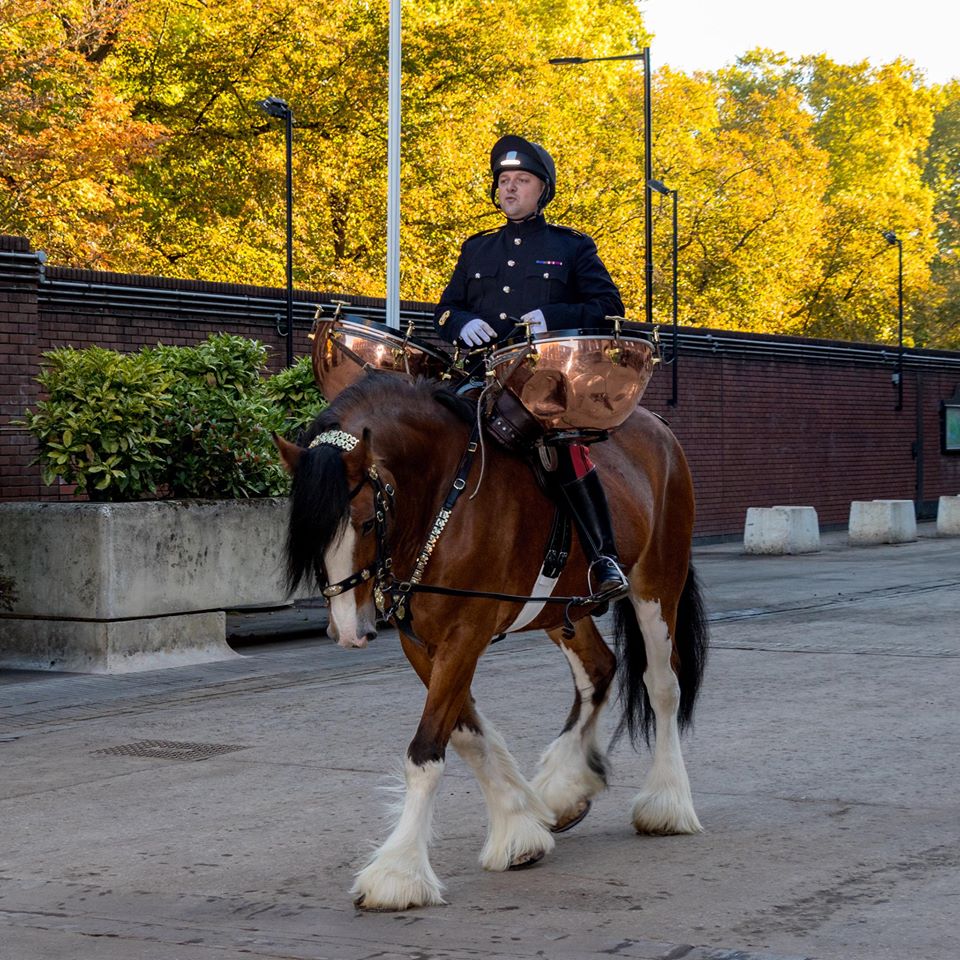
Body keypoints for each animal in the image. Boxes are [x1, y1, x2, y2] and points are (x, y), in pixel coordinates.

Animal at [274, 372, 708, 912]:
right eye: (309, 532)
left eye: (368, 522)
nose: (349, 630)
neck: (443, 498)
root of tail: (659, 427)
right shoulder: (422, 643)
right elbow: (464, 735)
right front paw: (519, 827)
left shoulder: (466, 633)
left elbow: (426, 750)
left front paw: (398, 872)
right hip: (558, 608)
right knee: (599, 668)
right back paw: (565, 788)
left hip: (658, 583)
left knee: (661, 686)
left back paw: (666, 803)